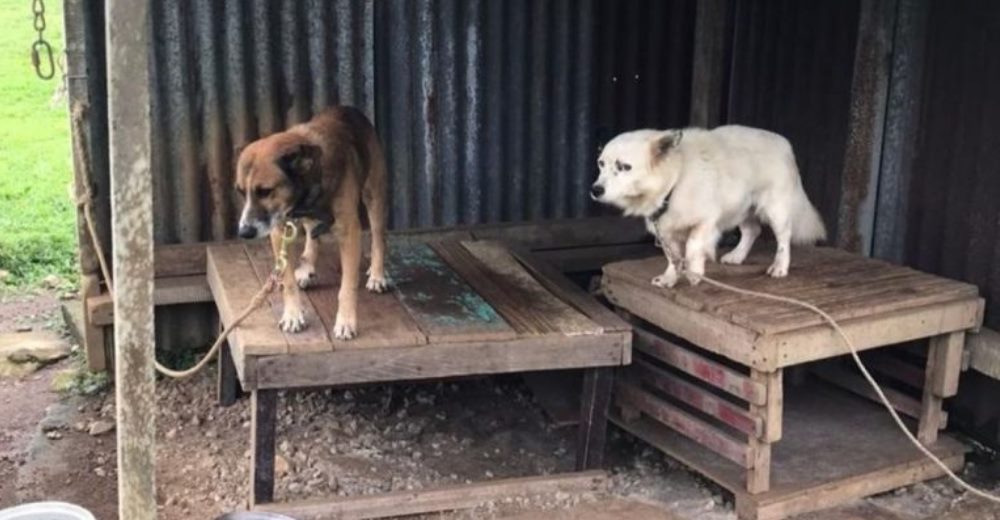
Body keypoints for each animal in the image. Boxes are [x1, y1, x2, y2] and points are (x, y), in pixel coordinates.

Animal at [236, 107, 388, 340]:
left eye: (265, 191)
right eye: (241, 192)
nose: (244, 232)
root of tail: (348, 109)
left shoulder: (349, 233)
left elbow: (347, 286)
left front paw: (346, 321)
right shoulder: (279, 231)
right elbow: (288, 281)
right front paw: (292, 315)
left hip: (374, 196)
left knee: (378, 237)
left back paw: (377, 274)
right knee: (312, 236)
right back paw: (307, 267)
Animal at [588, 126, 824, 288]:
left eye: (624, 167)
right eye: (601, 164)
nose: (595, 190)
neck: (674, 181)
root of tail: (784, 144)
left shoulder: (706, 221)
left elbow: (693, 246)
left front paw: (694, 272)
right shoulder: (666, 231)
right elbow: (672, 258)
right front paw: (669, 278)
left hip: (775, 209)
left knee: (784, 237)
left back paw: (780, 266)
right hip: (741, 207)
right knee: (752, 230)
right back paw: (737, 256)